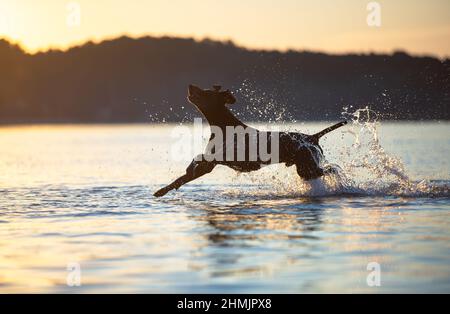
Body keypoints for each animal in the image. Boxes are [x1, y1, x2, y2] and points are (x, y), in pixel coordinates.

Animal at [153, 83, 346, 196]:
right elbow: (186, 173)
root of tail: (313, 137)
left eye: (206, 92)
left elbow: (195, 164)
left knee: (330, 169)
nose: (190, 86)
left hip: (307, 169)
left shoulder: (215, 161)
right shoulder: (209, 165)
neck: (223, 125)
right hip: (306, 169)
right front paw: (164, 189)